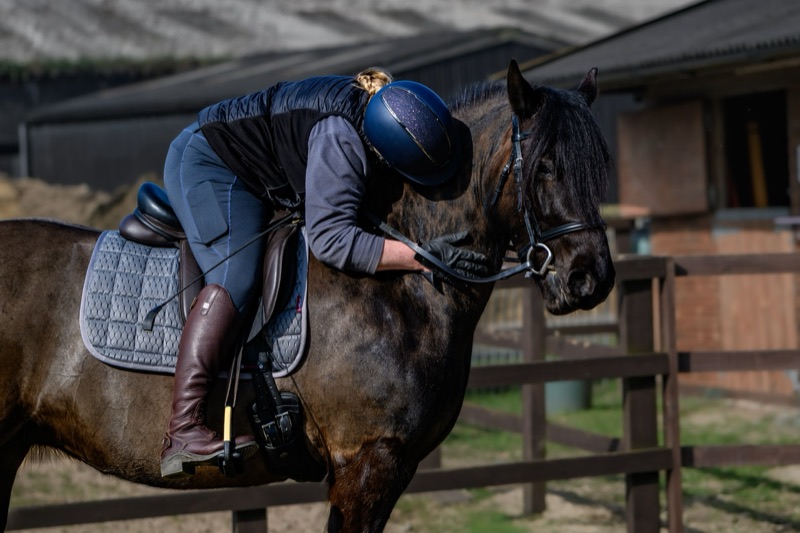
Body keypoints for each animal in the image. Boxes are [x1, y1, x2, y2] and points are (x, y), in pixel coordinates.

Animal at [0, 60, 614, 532]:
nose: (591, 280)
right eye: (545, 167)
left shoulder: (387, 467)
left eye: (600, 166)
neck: (397, 292)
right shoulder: (367, 461)